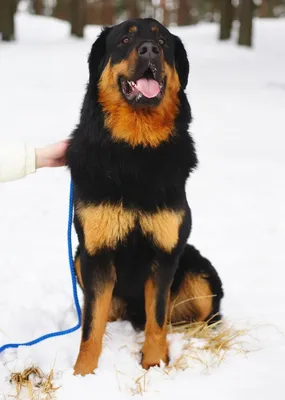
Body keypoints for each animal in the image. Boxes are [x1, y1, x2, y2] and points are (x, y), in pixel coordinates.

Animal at [66, 18, 222, 376]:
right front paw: (83, 374)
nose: (149, 49)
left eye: (162, 41)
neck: (136, 149)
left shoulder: (164, 254)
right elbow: (90, 327)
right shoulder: (96, 253)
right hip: (79, 257)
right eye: (125, 39)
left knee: (200, 316)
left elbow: (158, 317)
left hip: (200, 272)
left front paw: (153, 363)